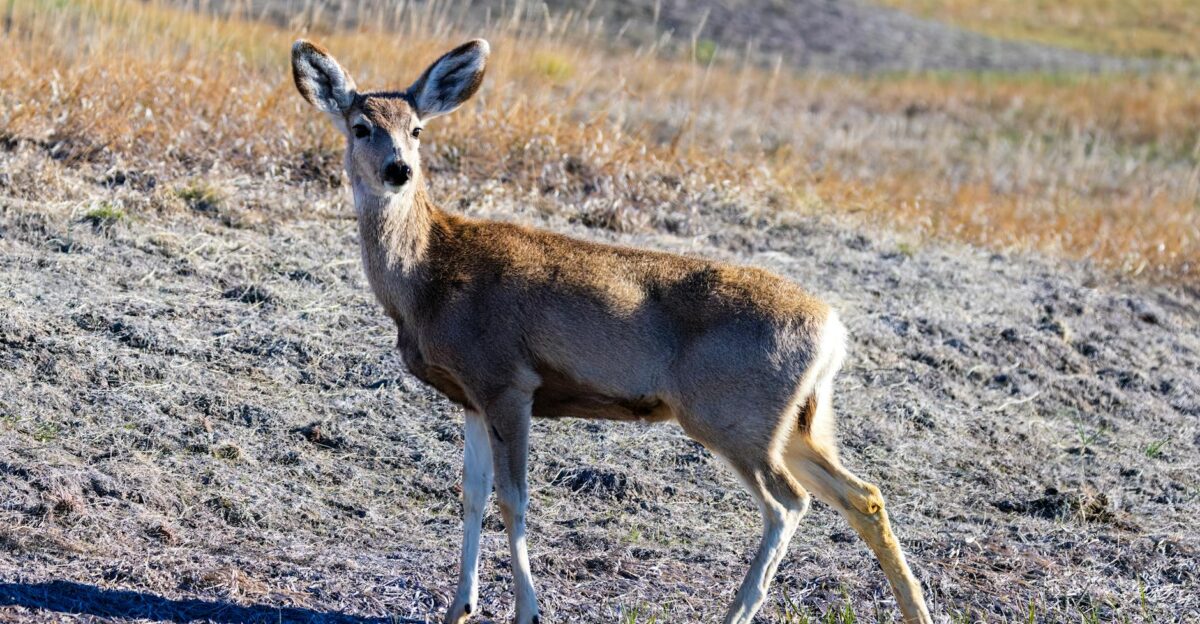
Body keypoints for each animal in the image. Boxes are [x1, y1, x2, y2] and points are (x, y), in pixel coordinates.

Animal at [290, 38, 933, 624]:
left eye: (418, 129)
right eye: (361, 126)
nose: (399, 169)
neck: (429, 277)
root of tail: (833, 331)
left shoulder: (508, 380)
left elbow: (514, 500)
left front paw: (528, 610)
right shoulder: (470, 394)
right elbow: (471, 495)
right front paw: (459, 608)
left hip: (733, 413)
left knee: (788, 504)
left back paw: (737, 610)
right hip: (797, 422)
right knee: (863, 494)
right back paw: (916, 610)